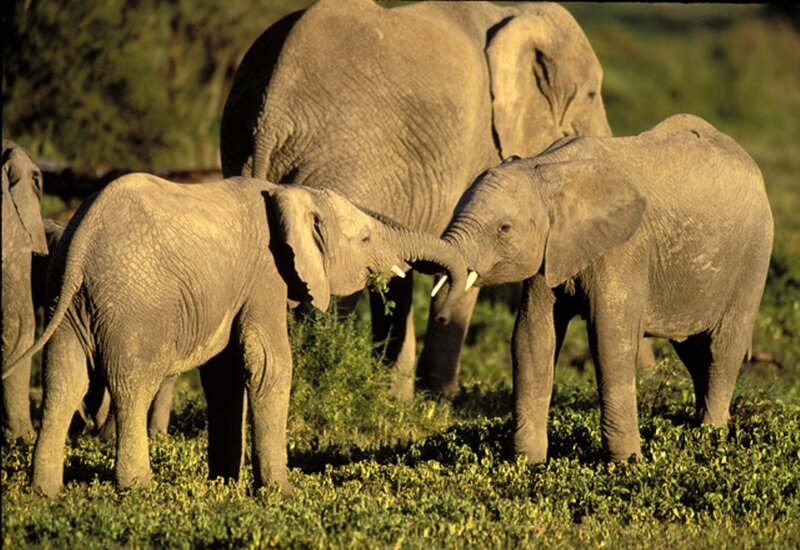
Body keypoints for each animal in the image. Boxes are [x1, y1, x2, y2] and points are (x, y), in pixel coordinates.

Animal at [6, 173, 466, 496]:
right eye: (367, 238)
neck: (290, 194)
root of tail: (81, 241)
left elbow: (225, 372)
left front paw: (224, 484)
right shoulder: (266, 276)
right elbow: (268, 365)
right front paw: (281, 493)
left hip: (67, 300)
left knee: (63, 381)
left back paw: (44, 491)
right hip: (133, 302)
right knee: (132, 385)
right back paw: (137, 488)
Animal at [220, 0, 612, 398]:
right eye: (591, 95)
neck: (516, 13)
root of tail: (271, 112)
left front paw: (397, 397)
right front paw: (441, 399)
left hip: (244, 142)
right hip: (342, 162)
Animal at [441, 114, 773, 463]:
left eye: (504, 228)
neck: (549, 169)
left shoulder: (624, 247)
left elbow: (610, 340)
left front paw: (627, 464)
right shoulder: (550, 251)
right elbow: (532, 336)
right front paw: (527, 463)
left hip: (754, 253)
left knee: (723, 346)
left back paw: (711, 436)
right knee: (695, 351)